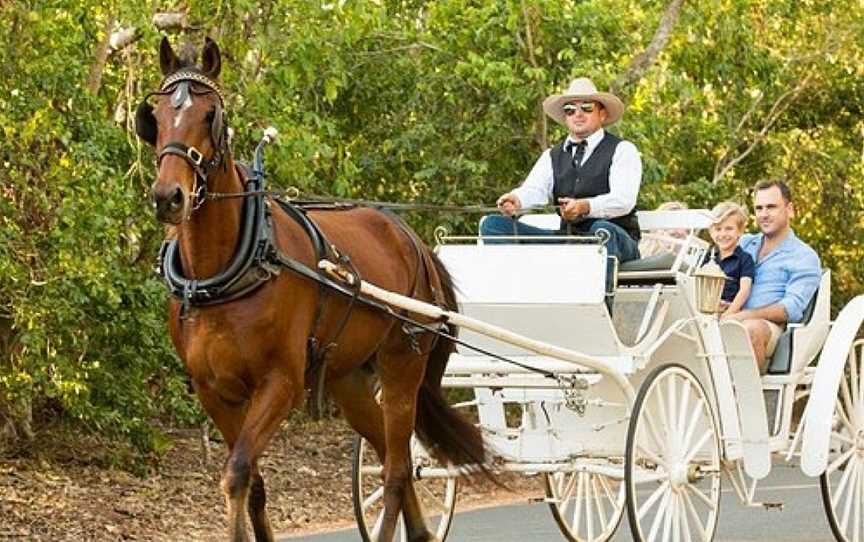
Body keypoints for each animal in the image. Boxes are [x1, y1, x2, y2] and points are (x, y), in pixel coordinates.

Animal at [134, 36, 486, 540]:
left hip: (403, 363)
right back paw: (419, 531)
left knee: (398, 470)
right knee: (389, 455)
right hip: (349, 378)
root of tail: (413, 241)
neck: (234, 266)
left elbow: (237, 472)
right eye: (156, 117)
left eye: (210, 115)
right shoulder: (212, 390)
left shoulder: (281, 383)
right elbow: (253, 483)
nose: (168, 197)